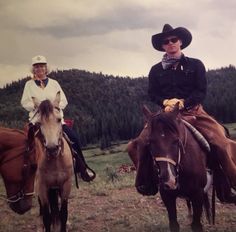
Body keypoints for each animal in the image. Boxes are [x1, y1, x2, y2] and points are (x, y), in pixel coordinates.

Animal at [32, 92, 72, 232]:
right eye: (39, 123)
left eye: (59, 119)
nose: (52, 149)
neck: (56, 162)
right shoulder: (42, 187)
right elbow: (47, 216)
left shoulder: (66, 185)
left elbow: (63, 213)